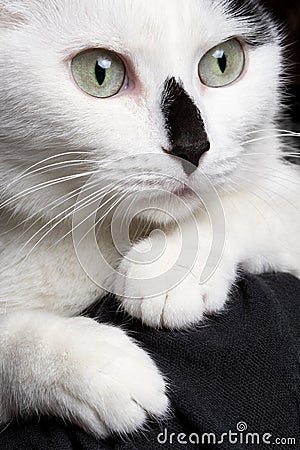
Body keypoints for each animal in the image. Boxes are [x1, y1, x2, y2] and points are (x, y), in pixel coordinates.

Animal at [0, 0, 300, 440]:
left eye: (222, 62)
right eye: (100, 71)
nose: (193, 147)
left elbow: (258, 202)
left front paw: (171, 268)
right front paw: (96, 367)